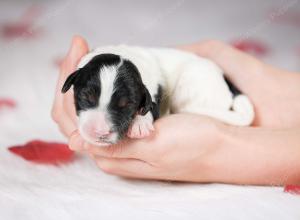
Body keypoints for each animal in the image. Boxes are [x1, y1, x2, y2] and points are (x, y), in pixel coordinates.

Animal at [62, 44, 254, 146]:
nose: (100, 132)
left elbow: (151, 107)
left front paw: (140, 124)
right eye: (87, 97)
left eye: (126, 105)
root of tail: (226, 82)